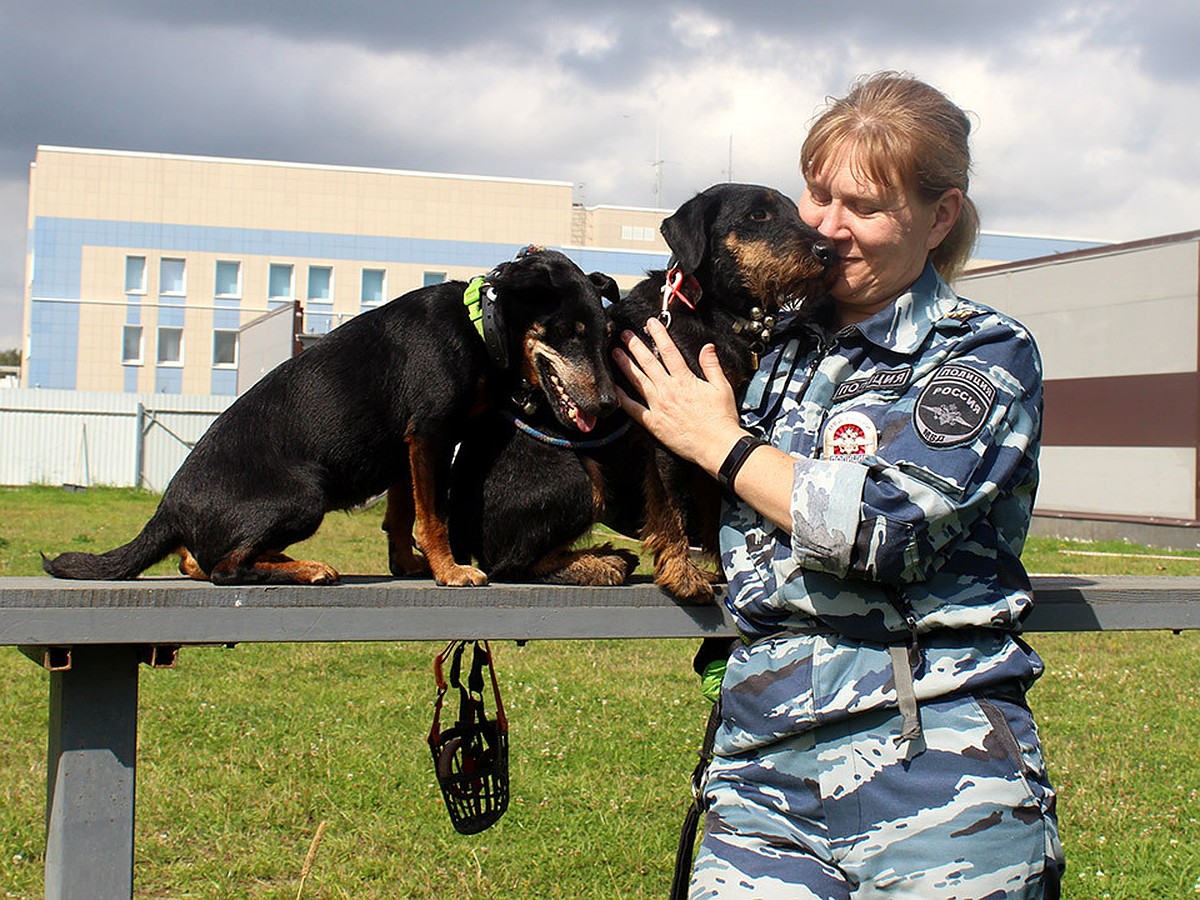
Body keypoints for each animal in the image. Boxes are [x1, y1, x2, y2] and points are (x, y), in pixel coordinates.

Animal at [44, 247, 619, 588]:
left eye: (602, 333)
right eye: (571, 332)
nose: (610, 404)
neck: (480, 328)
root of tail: (169, 508)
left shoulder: (405, 447)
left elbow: (401, 514)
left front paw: (409, 565)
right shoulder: (429, 434)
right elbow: (431, 516)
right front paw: (450, 570)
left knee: (200, 560)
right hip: (306, 494)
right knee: (226, 568)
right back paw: (306, 568)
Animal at [448, 186, 835, 602]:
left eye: (797, 213)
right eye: (758, 215)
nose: (827, 252)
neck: (711, 310)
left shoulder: (713, 434)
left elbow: (711, 504)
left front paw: (718, 569)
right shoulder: (668, 434)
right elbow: (672, 507)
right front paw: (682, 574)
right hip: (578, 479)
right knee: (508, 565)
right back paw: (598, 564)